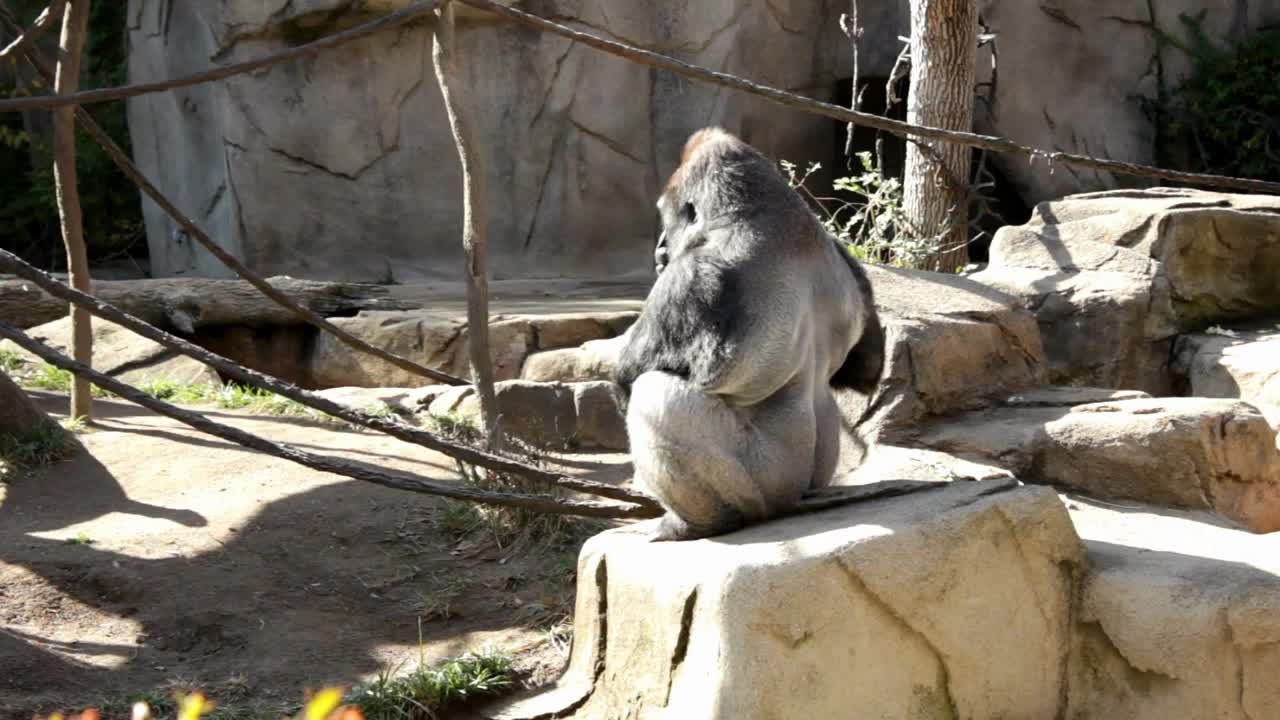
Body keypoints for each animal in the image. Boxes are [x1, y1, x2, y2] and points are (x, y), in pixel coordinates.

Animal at [614, 127, 885, 538]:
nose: (660, 246)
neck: (761, 213)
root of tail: (793, 499)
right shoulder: (848, 257)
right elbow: (867, 369)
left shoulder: (692, 273)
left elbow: (630, 376)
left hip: (764, 490)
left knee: (655, 394)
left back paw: (698, 522)